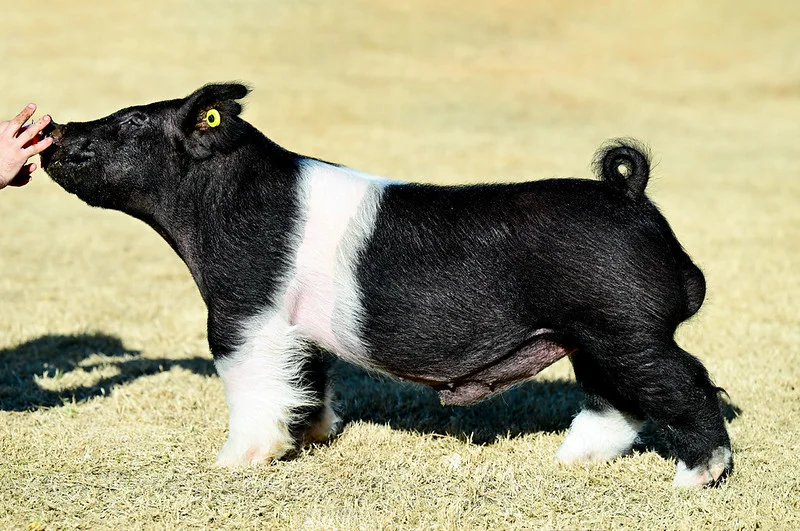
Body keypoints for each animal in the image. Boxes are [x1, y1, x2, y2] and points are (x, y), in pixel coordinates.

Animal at [40, 83, 731, 487]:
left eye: (131, 123)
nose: (52, 130)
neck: (217, 205)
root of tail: (630, 194)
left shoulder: (240, 311)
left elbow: (249, 385)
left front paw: (232, 461)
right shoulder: (293, 328)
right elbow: (306, 378)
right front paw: (313, 436)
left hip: (625, 328)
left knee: (688, 383)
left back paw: (695, 480)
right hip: (590, 336)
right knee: (617, 399)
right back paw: (569, 460)